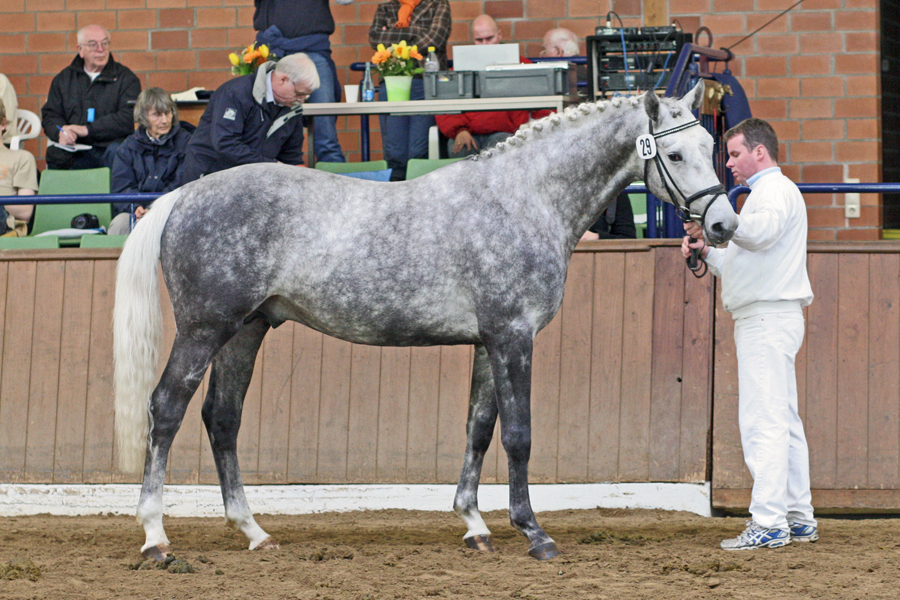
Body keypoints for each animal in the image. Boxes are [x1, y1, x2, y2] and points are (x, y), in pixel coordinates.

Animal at [114, 83, 740, 564]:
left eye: (712, 146)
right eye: (674, 155)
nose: (724, 224)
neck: (524, 199)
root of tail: (184, 194)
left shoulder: (488, 344)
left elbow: (478, 428)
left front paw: (475, 526)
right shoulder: (513, 338)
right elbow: (519, 435)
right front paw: (534, 533)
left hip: (246, 330)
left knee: (222, 419)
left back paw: (253, 531)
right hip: (204, 330)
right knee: (165, 410)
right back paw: (155, 537)